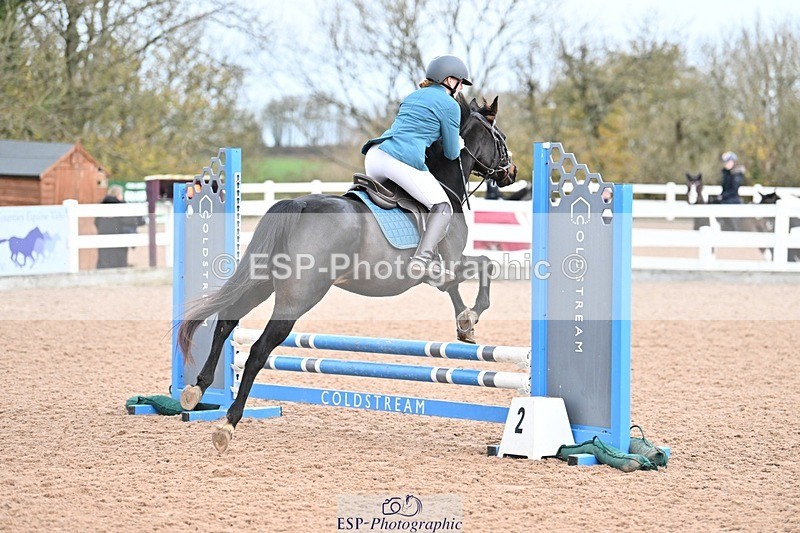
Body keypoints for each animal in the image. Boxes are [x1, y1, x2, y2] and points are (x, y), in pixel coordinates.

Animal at [177, 95, 518, 451]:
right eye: (501, 138)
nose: (512, 172)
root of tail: (299, 205)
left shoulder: (441, 271)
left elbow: (452, 287)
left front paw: (465, 325)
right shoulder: (452, 260)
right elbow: (486, 264)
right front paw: (472, 315)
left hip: (261, 282)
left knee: (225, 322)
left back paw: (196, 390)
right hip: (297, 298)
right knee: (258, 351)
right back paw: (227, 423)